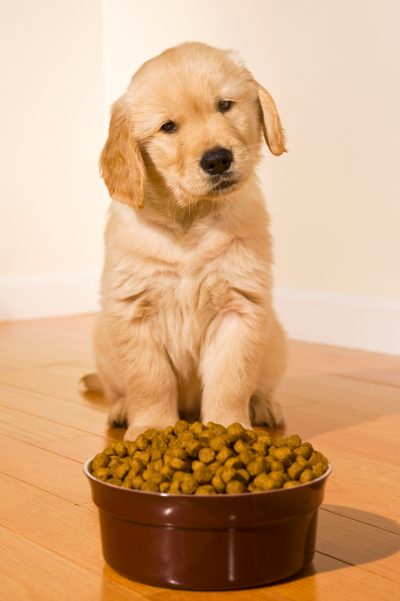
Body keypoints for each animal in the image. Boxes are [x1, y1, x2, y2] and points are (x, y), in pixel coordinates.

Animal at [83, 41, 286, 436]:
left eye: (224, 105)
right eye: (168, 127)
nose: (218, 159)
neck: (190, 219)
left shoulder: (240, 308)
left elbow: (231, 378)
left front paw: (228, 426)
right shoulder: (133, 311)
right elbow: (150, 380)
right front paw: (151, 428)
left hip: (276, 344)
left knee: (261, 386)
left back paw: (264, 406)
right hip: (102, 343)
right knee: (118, 388)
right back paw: (121, 408)